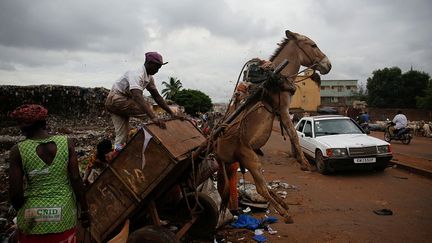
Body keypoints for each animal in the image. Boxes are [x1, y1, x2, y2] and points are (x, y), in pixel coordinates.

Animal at [215, 29, 330, 223]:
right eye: (313, 45)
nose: (328, 65)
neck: (275, 76)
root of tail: (216, 151)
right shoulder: (282, 109)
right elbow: (293, 133)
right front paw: (305, 163)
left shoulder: (284, 112)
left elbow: (294, 132)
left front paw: (301, 160)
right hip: (250, 158)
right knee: (261, 188)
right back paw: (285, 213)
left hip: (246, 160)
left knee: (263, 186)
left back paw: (283, 204)